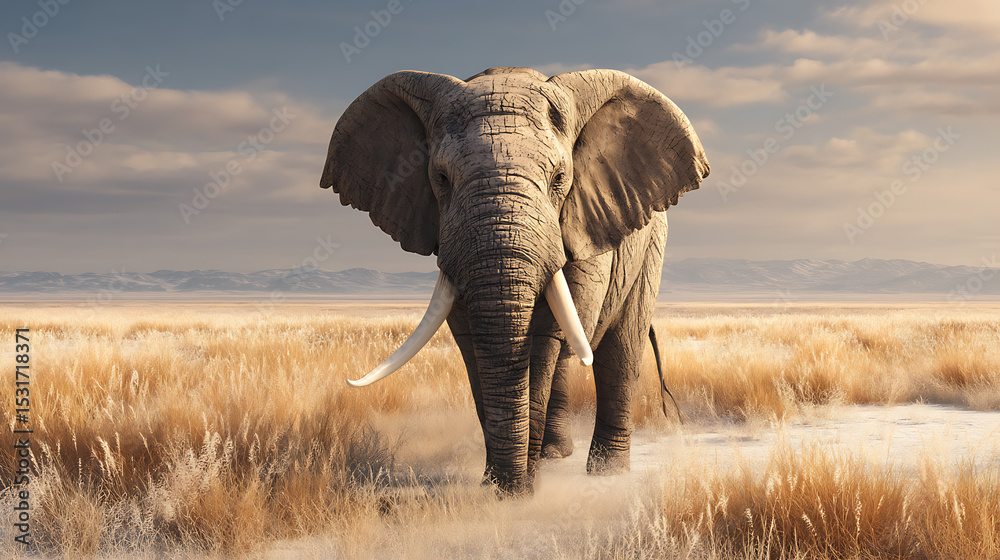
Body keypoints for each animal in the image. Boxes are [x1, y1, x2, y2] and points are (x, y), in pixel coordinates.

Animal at [321, 66, 709, 496]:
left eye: (559, 178)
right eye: (441, 178)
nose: (507, 486)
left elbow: (543, 338)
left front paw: (518, 493)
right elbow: (473, 342)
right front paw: (498, 486)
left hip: (650, 247)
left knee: (620, 348)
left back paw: (605, 472)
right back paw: (554, 455)